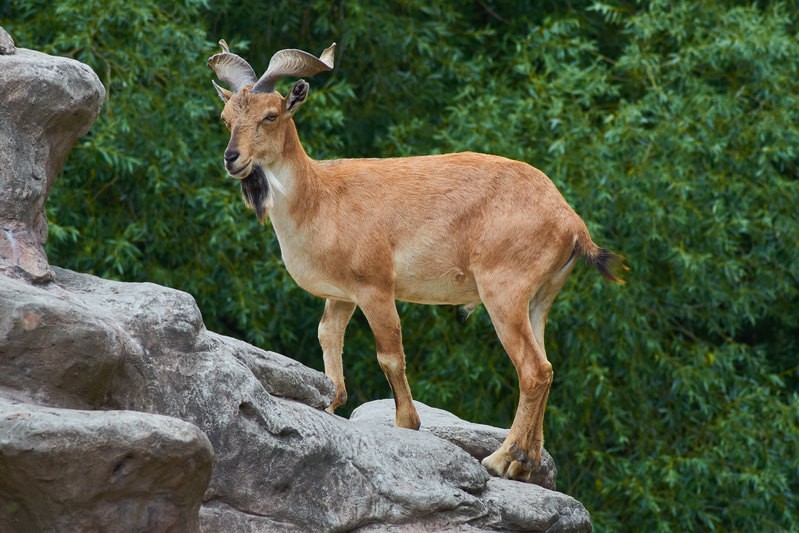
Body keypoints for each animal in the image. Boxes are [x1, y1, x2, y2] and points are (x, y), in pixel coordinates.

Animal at [208, 39, 632, 480]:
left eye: (270, 115)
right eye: (225, 118)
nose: (232, 158)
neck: (320, 196)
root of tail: (570, 221)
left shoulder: (375, 288)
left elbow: (390, 356)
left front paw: (406, 424)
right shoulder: (341, 295)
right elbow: (328, 336)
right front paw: (331, 400)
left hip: (504, 292)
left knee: (533, 370)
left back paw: (500, 459)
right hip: (539, 299)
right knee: (547, 367)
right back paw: (525, 463)